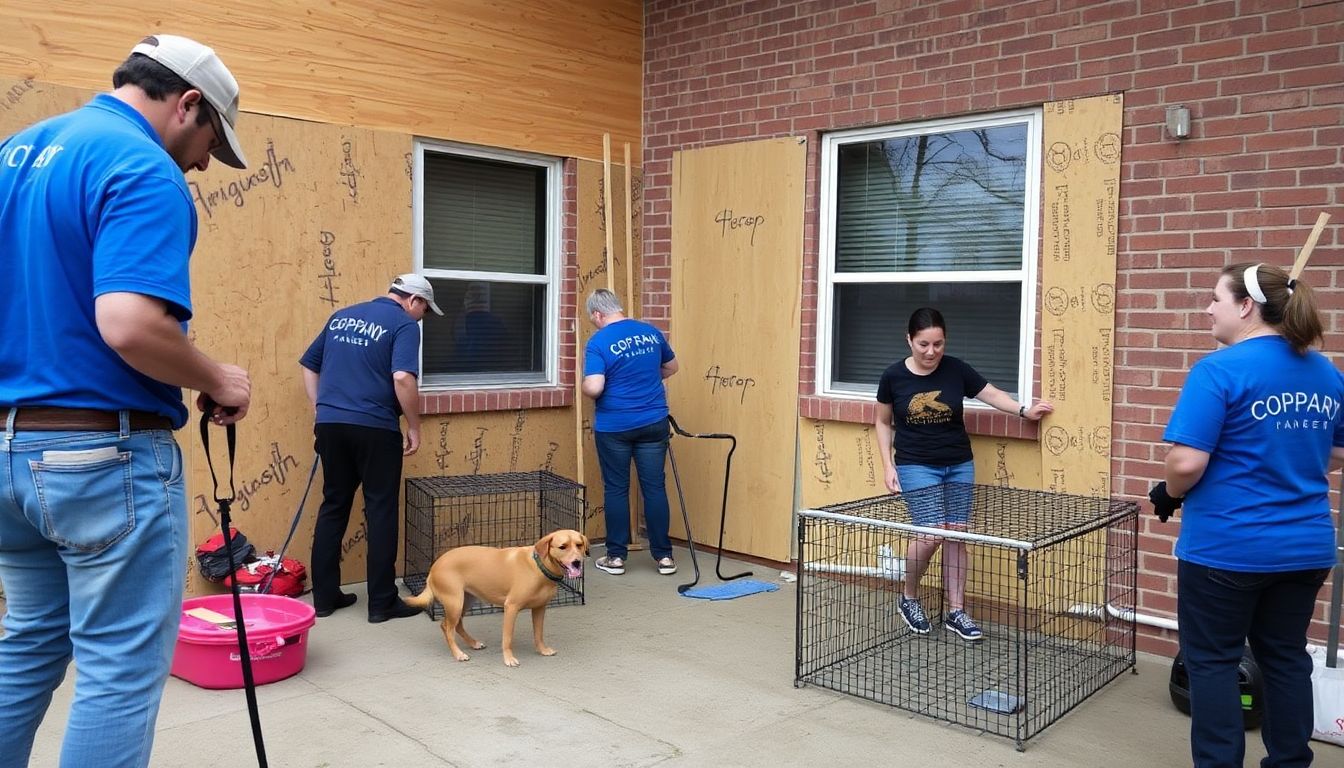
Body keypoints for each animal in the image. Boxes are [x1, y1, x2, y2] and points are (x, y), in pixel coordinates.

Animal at [400, 529, 585, 667]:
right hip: (455, 603)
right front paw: (508, 659)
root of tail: (434, 567)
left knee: (457, 625)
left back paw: (473, 643)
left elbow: (538, 634)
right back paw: (458, 654)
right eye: (562, 547)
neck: (539, 568)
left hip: (467, 600)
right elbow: (507, 638)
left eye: (579, 545)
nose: (577, 562)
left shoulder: (540, 608)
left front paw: (542, 650)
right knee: (446, 627)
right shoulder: (511, 607)